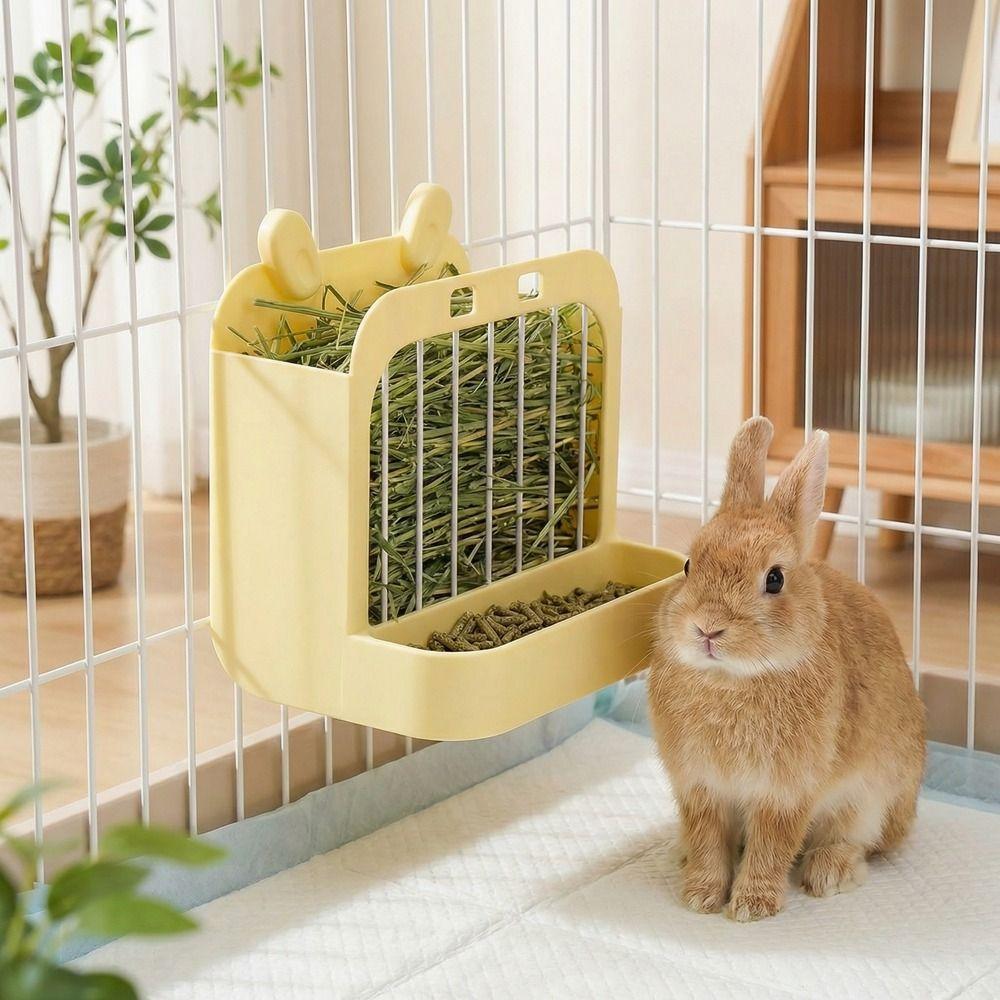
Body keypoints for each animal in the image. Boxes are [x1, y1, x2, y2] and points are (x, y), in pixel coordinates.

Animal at [648, 416, 925, 922]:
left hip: (871, 798)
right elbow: (708, 840)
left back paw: (830, 873)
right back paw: (679, 854)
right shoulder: (700, 788)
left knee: (859, 841)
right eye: (689, 565)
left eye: (775, 579)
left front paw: (751, 906)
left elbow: (771, 846)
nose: (707, 628)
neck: (733, 679)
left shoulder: (786, 792)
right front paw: (700, 896)